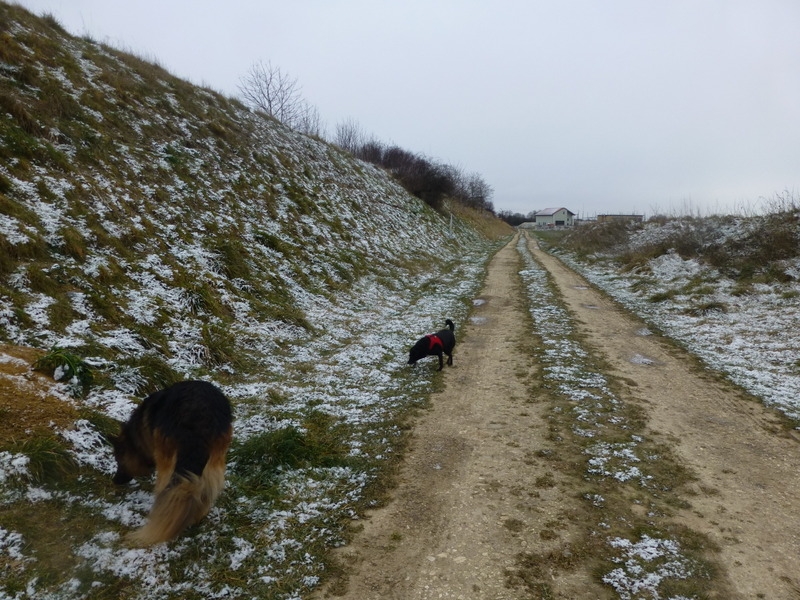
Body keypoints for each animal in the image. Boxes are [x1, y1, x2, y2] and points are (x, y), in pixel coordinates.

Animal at [111, 382, 233, 548]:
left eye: (118, 460)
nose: (115, 481)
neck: (138, 436)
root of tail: (199, 417)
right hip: (216, 460)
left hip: (167, 461)